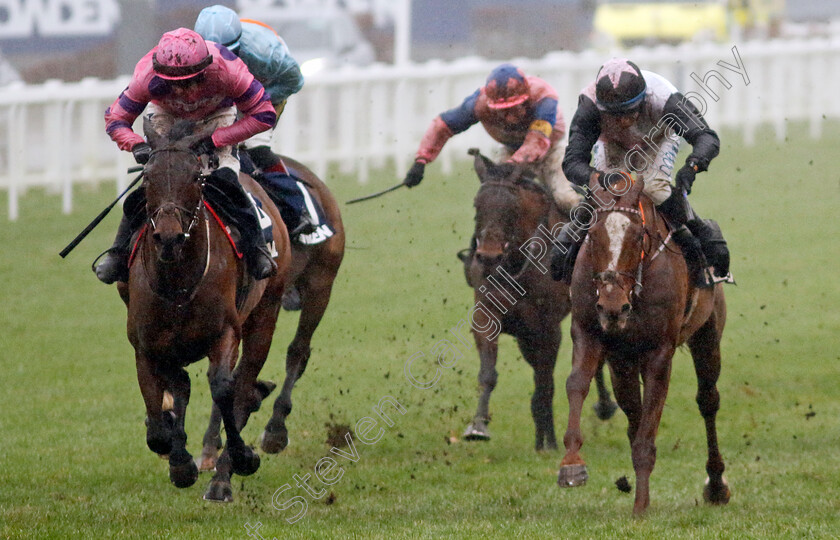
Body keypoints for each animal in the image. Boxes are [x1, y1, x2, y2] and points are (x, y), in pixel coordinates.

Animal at [116, 120, 290, 504]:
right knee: (182, 387)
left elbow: (224, 388)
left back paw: (223, 477)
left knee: (243, 381)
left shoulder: (225, 333)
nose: (168, 237)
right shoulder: (146, 346)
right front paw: (179, 460)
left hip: (265, 313)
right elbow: (157, 420)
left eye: (196, 176)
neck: (177, 282)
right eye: (147, 176)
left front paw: (242, 456)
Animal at [460, 150, 616, 450]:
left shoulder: (547, 328)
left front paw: (550, 444)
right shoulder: (488, 316)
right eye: (477, 205)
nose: (488, 257)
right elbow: (488, 374)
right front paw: (478, 425)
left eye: (511, 208)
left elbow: (546, 386)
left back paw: (602, 406)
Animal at [556, 173, 728, 516]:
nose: (613, 307)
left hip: (707, 334)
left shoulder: (660, 351)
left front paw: (640, 506)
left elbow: (651, 415)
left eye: (637, 236)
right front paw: (572, 464)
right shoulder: (590, 333)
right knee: (632, 409)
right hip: (621, 361)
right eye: (592, 234)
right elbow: (577, 384)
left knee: (707, 401)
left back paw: (716, 485)